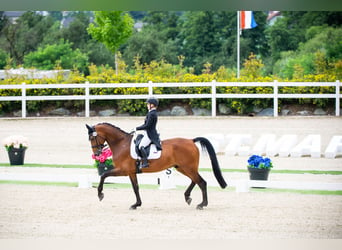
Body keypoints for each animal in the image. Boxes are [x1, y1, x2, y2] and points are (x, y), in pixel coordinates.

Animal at [85, 122, 227, 209]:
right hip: (182, 167)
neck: (121, 144)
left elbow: (104, 175)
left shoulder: (124, 170)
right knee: (195, 180)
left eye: (92, 138)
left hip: (188, 167)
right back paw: (188, 197)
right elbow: (135, 188)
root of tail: (191, 141)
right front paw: (136, 204)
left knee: (201, 182)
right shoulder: (131, 172)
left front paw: (100, 194)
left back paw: (202, 204)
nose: (97, 154)